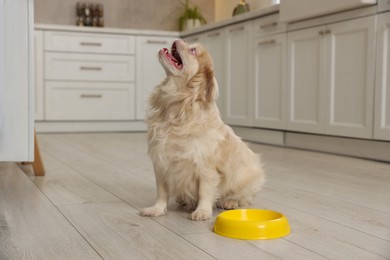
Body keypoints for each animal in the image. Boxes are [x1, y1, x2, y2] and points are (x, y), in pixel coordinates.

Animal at [139, 39, 264, 221]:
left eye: (193, 50)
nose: (177, 39)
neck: (178, 108)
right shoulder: (161, 162)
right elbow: (161, 192)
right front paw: (157, 209)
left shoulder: (205, 168)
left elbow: (205, 191)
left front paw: (202, 212)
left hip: (245, 176)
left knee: (242, 197)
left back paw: (230, 202)